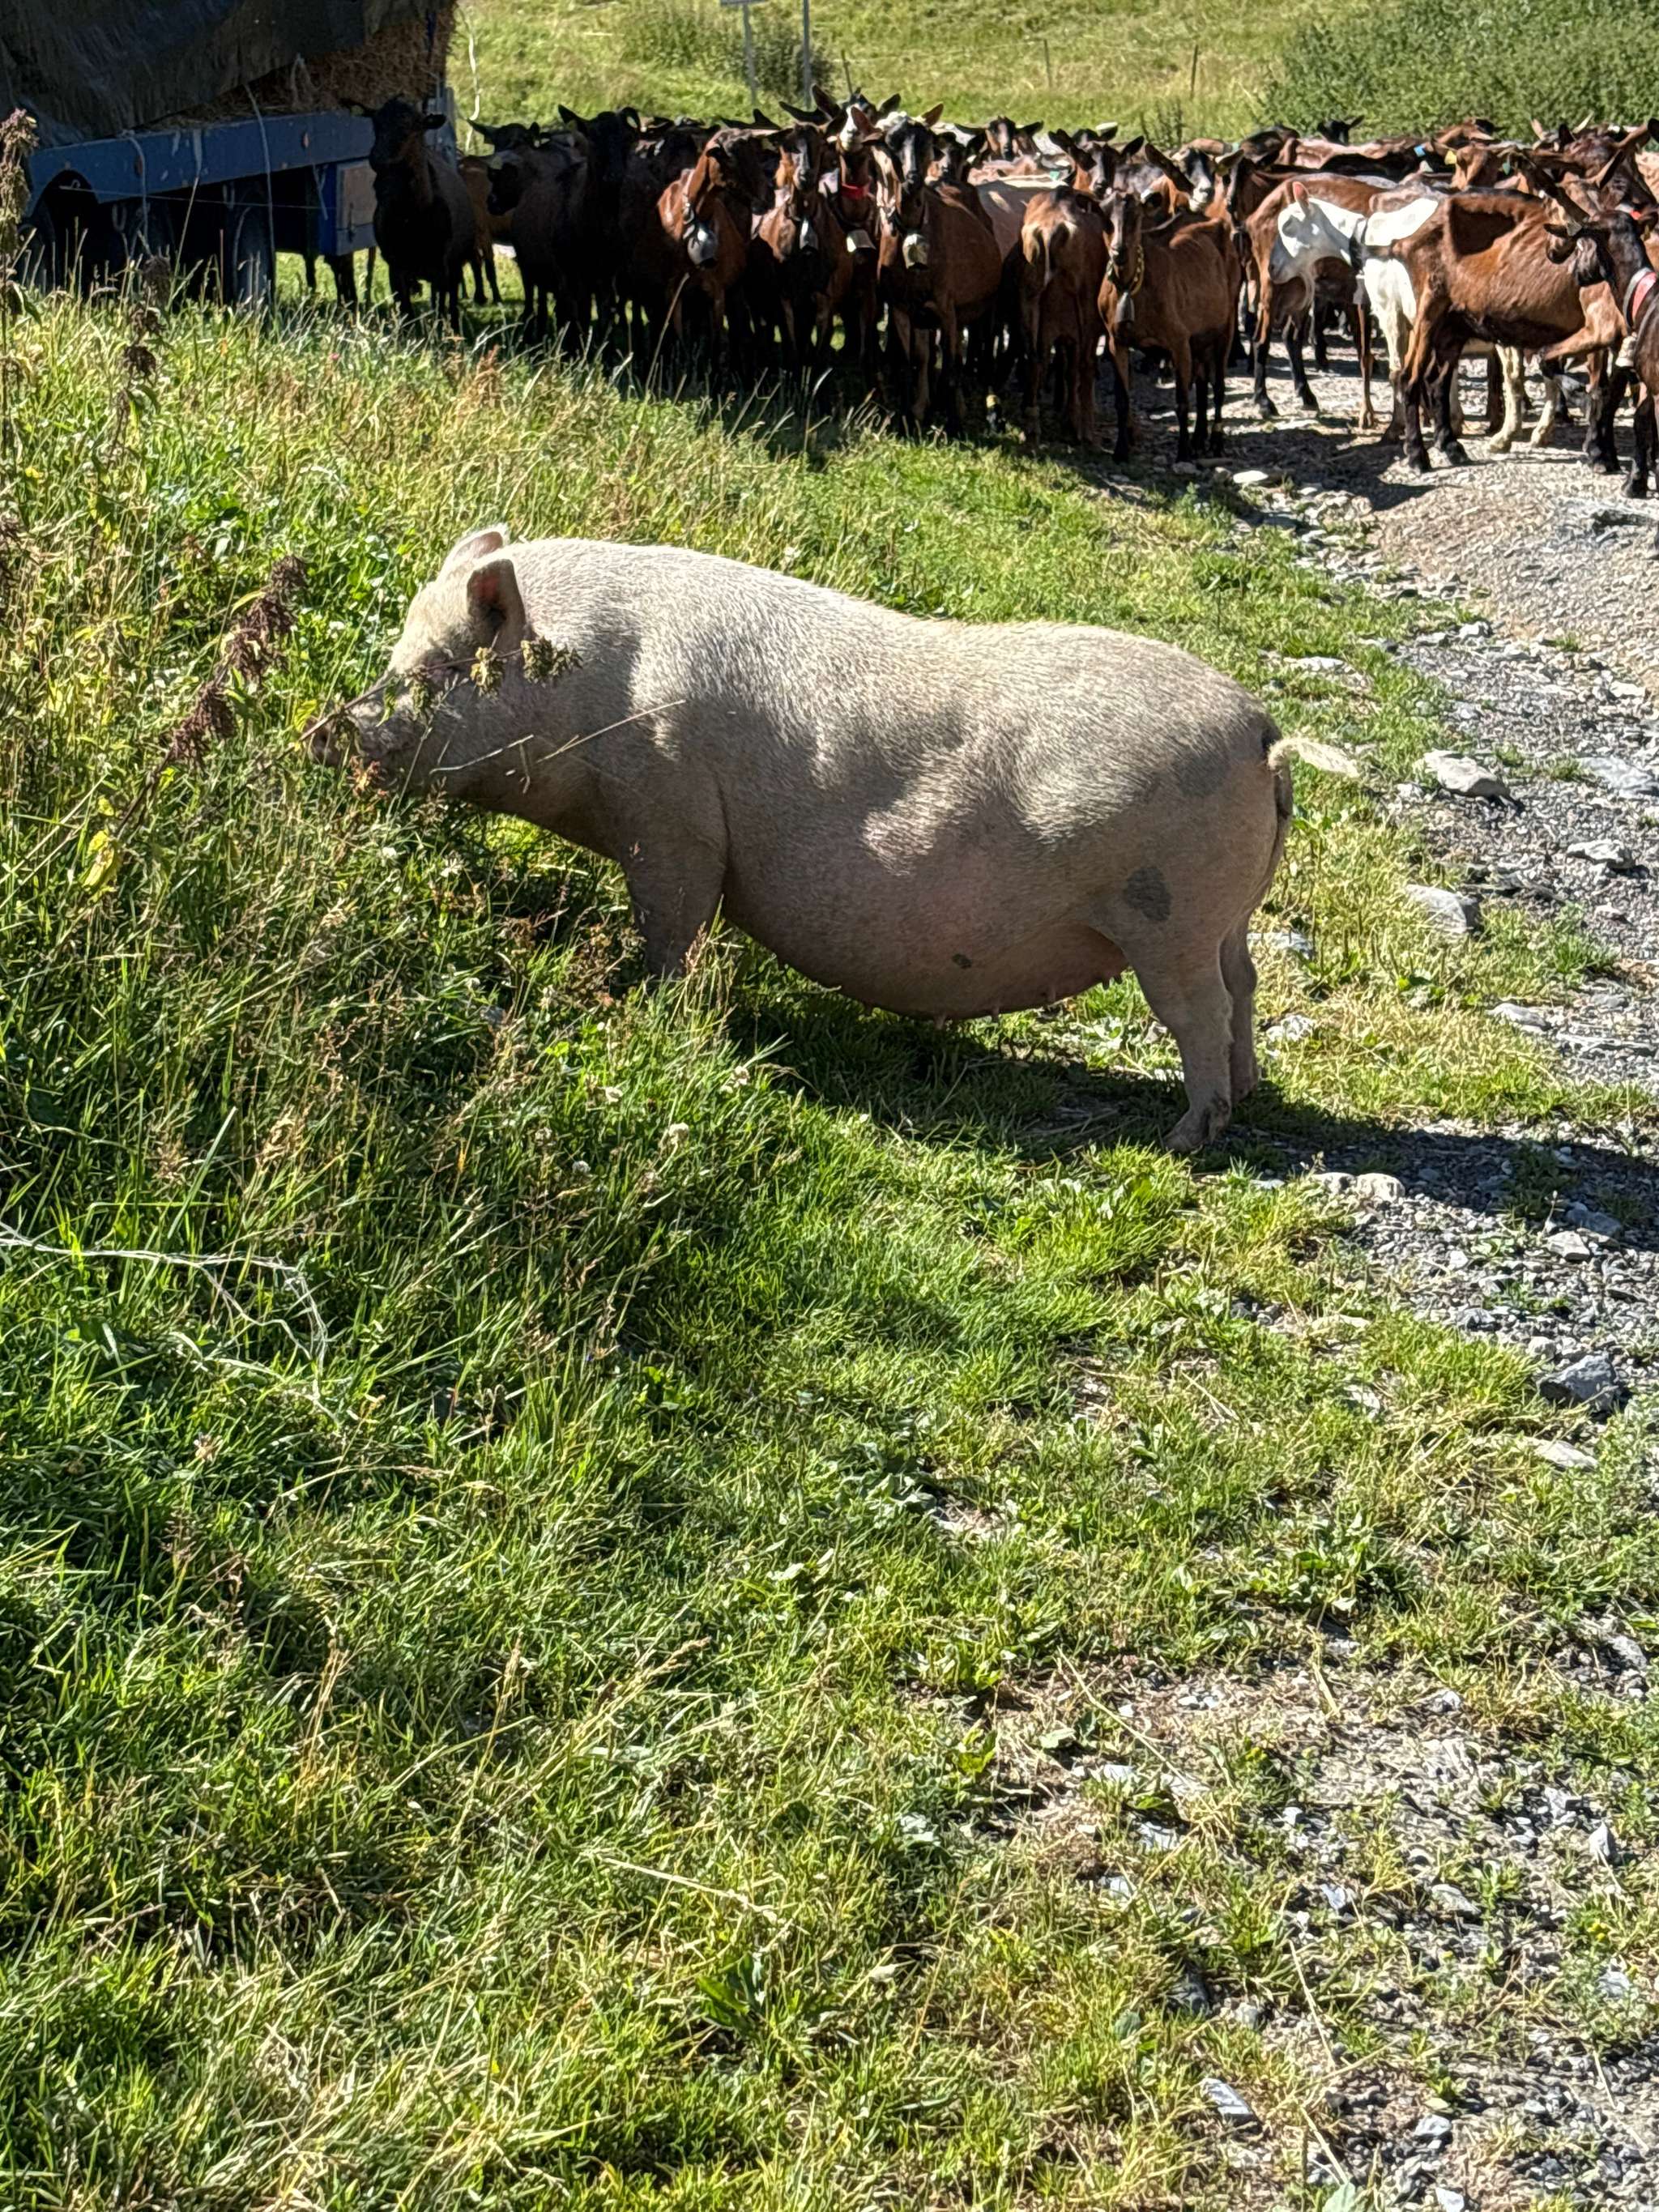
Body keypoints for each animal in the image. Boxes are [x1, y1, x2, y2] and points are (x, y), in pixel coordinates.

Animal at [309, 529, 1356, 1151]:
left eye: (438, 669)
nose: (329, 730)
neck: (585, 695)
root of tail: (1262, 736)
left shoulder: (667, 818)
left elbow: (672, 929)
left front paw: (645, 1004)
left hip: (1165, 915)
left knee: (1198, 1011)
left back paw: (1187, 1136)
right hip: (1221, 916)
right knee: (1244, 988)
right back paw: (1249, 1098)